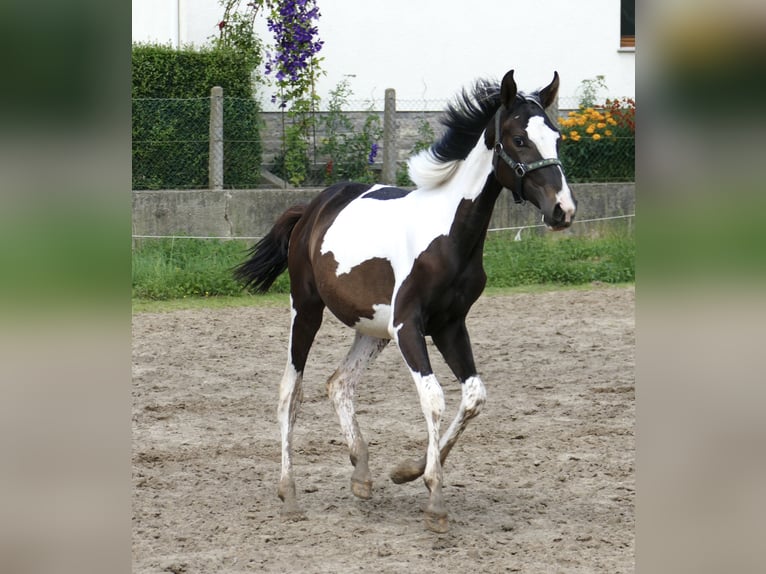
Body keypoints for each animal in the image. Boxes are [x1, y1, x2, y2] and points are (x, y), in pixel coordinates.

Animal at [237, 70, 580, 532]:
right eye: (519, 139)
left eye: (556, 137)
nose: (563, 210)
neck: (450, 237)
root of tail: (311, 207)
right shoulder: (409, 327)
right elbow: (433, 397)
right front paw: (434, 499)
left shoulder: (450, 326)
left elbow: (473, 395)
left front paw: (408, 472)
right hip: (307, 309)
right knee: (291, 391)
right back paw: (288, 492)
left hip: (372, 328)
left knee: (339, 383)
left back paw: (362, 475)